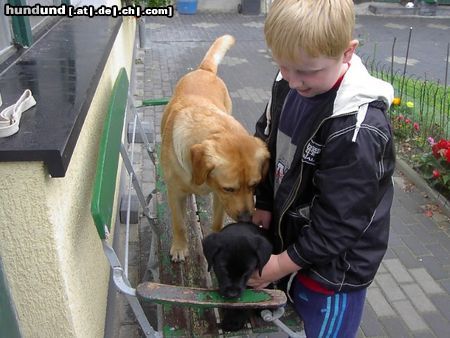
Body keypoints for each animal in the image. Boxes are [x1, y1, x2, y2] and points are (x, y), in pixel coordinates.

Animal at [160, 35, 268, 262]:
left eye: (254, 185)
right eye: (229, 188)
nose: (247, 218)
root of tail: (205, 70)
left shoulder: (219, 198)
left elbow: (217, 223)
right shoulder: (175, 193)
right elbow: (179, 224)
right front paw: (180, 247)